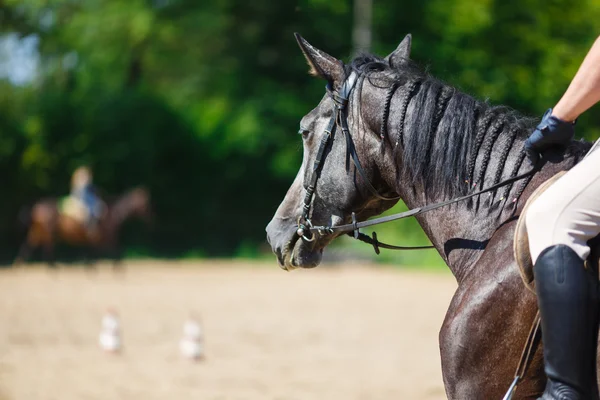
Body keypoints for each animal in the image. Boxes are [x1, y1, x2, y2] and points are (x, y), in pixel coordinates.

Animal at [15, 187, 151, 266]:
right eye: (146, 203)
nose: (152, 219)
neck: (112, 213)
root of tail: (37, 206)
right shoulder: (105, 239)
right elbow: (116, 252)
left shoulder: (99, 240)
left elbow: (98, 253)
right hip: (49, 233)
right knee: (48, 248)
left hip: (38, 231)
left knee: (28, 245)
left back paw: (19, 265)